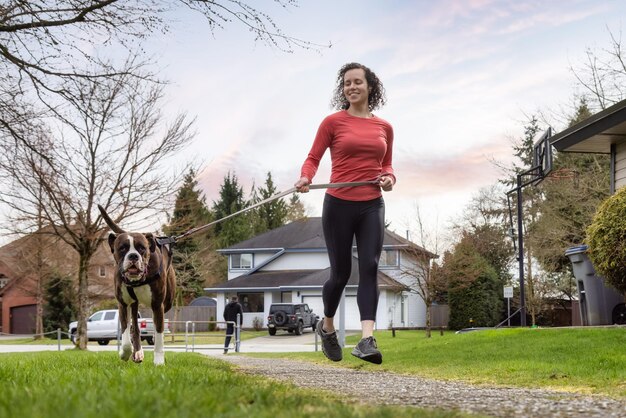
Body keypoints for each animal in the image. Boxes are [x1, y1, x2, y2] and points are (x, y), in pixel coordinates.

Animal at [98, 206, 174, 366]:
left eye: (142, 248)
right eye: (122, 248)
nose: (133, 256)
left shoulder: (157, 305)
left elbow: (159, 334)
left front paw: (159, 361)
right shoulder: (123, 304)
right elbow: (126, 335)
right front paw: (125, 353)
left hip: (167, 302)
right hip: (133, 304)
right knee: (135, 328)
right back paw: (137, 352)